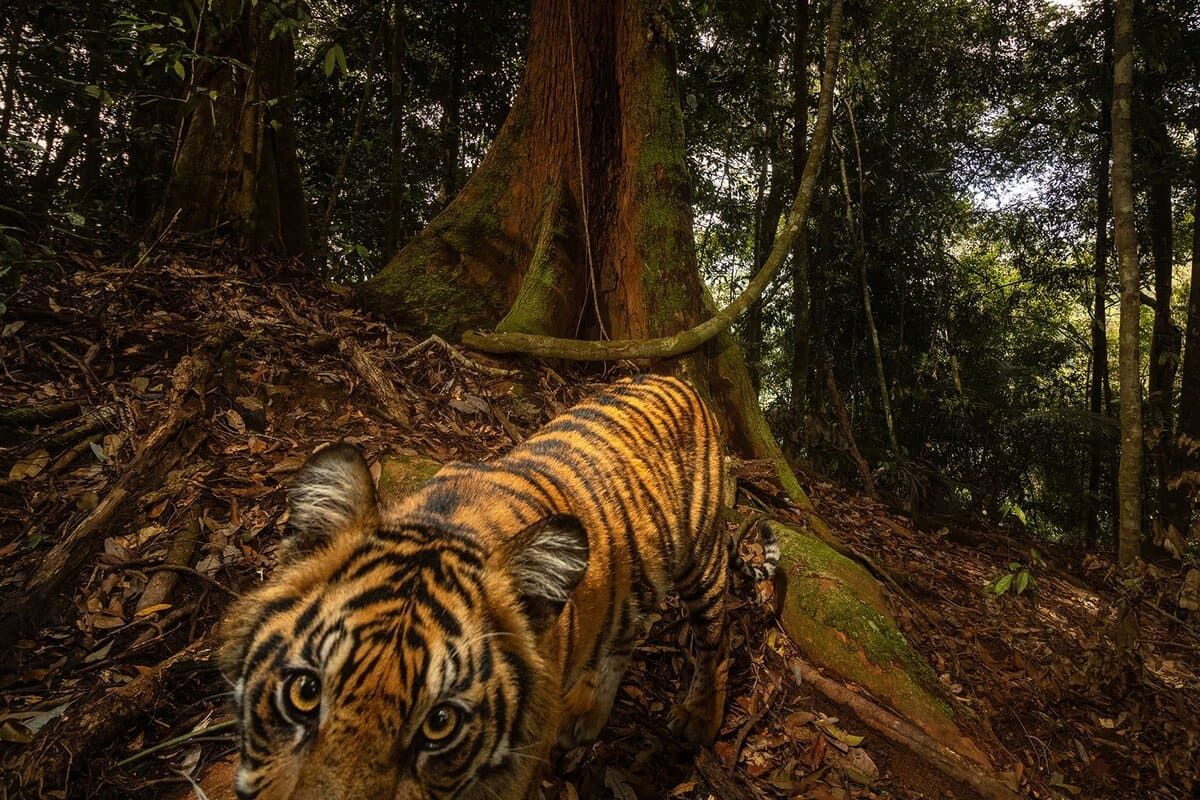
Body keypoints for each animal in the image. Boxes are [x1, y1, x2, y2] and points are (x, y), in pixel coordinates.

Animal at [218, 374, 780, 800]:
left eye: (440, 724)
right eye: (305, 692)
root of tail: (682, 381)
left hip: (702, 562)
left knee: (718, 639)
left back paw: (698, 719)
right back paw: (585, 714)